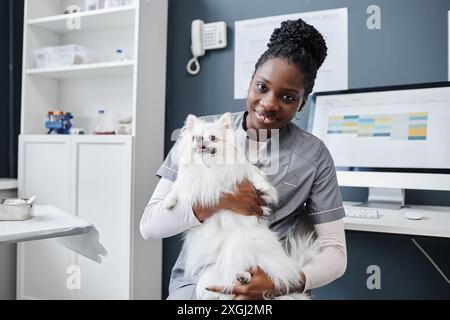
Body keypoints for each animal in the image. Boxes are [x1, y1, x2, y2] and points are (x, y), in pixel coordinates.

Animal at [163, 112, 318, 300]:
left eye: (213, 138)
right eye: (194, 137)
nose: (199, 141)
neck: (209, 166)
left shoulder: (241, 171)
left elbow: (253, 174)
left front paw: (263, 188)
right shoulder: (189, 180)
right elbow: (177, 187)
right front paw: (168, 202)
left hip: (239, 243)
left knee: (254, 267)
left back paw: (244, 277)